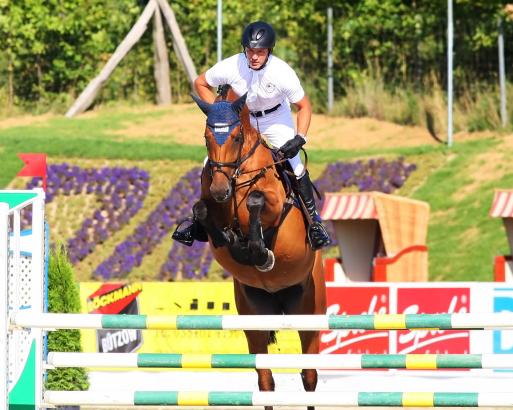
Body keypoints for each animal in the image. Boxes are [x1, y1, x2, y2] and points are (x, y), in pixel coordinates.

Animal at [190, 89, 326, 410]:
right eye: (207, 137)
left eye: (236, 137)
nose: (220, 190)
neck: (238, 177)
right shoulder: (210, 203)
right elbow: (202, 210)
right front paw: (236, 242)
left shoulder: (274, 204)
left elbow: (256, 201)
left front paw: (260, 252)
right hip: (253, 319)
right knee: (266, 380)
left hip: (310, 315)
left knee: (309, 376)